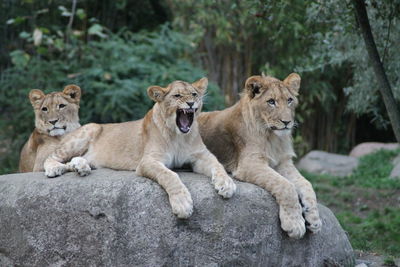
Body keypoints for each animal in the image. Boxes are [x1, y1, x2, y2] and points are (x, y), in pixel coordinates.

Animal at [43, 78, 238, 220]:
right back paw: (55, 168)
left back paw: (81, 166)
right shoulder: (148, 161)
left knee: (71, 161)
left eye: (194, 94)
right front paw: (182, 204)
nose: (191, 103)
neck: (178, 136)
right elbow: (170, 175)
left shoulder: (200, 156)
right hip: (88, 130)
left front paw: (226, 184)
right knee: (51, 158)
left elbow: (218, 165)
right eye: (177, 96)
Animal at [199, 73, 322, 239]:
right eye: (271, 102)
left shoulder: (283, 162)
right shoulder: (250, 164)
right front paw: (295, 224)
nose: (287, 122)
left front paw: (314, 220)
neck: (273, 138)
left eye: (289, 100)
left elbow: (306, 184)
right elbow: (286, 186)